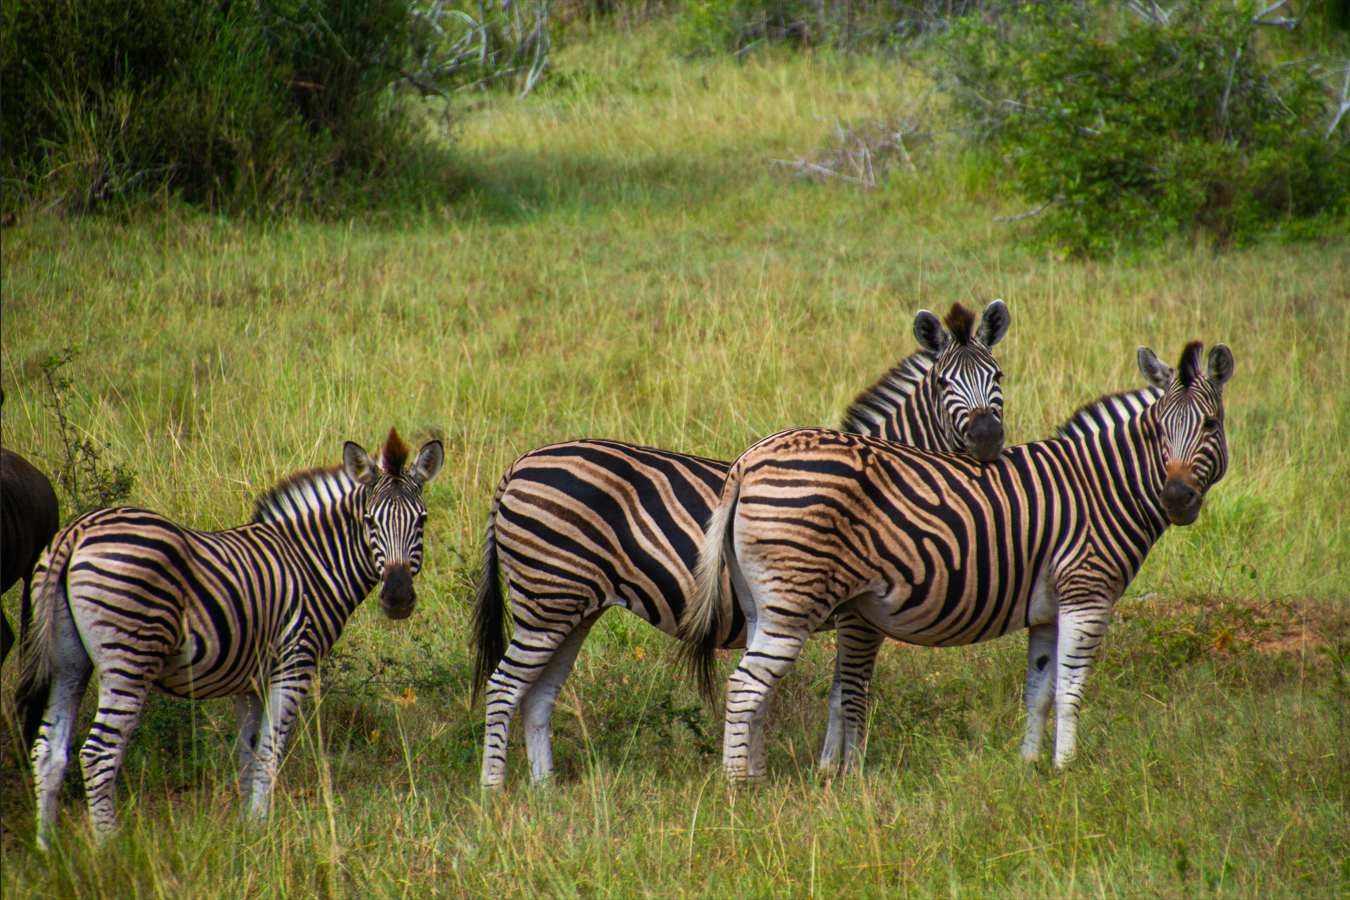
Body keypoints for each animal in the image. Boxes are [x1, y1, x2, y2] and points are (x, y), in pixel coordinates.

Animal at [18, 428, 443, 848]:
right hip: (131, 657)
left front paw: (247, 831)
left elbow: (247, 753)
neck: (312, 564)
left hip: (68, 662)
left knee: (48, 752)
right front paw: (263, 831)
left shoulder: (251, 680)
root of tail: (78, 530)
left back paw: (48, 849)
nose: (398, 598)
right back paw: (109, 849)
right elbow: (271, 751)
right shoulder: (294, 664)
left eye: (421, 520)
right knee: (99, 754)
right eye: (370, 521)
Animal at [472, 300, 1011, 788]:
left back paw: (544, 789)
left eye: (999, 375)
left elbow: (836, 691)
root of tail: (517, 466)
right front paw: (832, 773)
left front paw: (819, 770)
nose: (987, 437)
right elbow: (845, 693)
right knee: (504, 687)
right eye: (942, 384)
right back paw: (495, 791)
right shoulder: (857, 614)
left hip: (571, 606)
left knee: (537, 693)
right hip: (547, 599)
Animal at [680, 341, 1233, 782]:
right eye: (1158, 429)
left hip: (762, 603)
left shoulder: (1048, 611)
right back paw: (740, 789)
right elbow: (1071, 689)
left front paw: (1029, 766)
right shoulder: (1087, 593)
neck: (1101, 486)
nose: (1177, 498)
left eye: (1210, 424)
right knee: (745, 686)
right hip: (795, 600)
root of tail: (748, 461)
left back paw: (757, 775)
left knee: (756, 689)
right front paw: (1066, 769)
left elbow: (1039, 690)